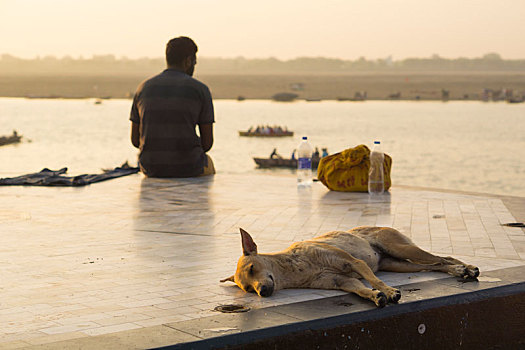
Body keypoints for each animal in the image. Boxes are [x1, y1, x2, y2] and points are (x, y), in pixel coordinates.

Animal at [221, 227, 478, 306]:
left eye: (252, 268)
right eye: (248, 289)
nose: (263, 292)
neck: (295, 268)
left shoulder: (353, 262)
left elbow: (374, 280)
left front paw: (388, 291)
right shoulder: (342, 281)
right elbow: (360, 288)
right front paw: (375, 296)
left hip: (402, 249)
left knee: (443, 258)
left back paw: (465, 268)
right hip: (400, 265)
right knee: (435, 265)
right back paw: (460, 271)